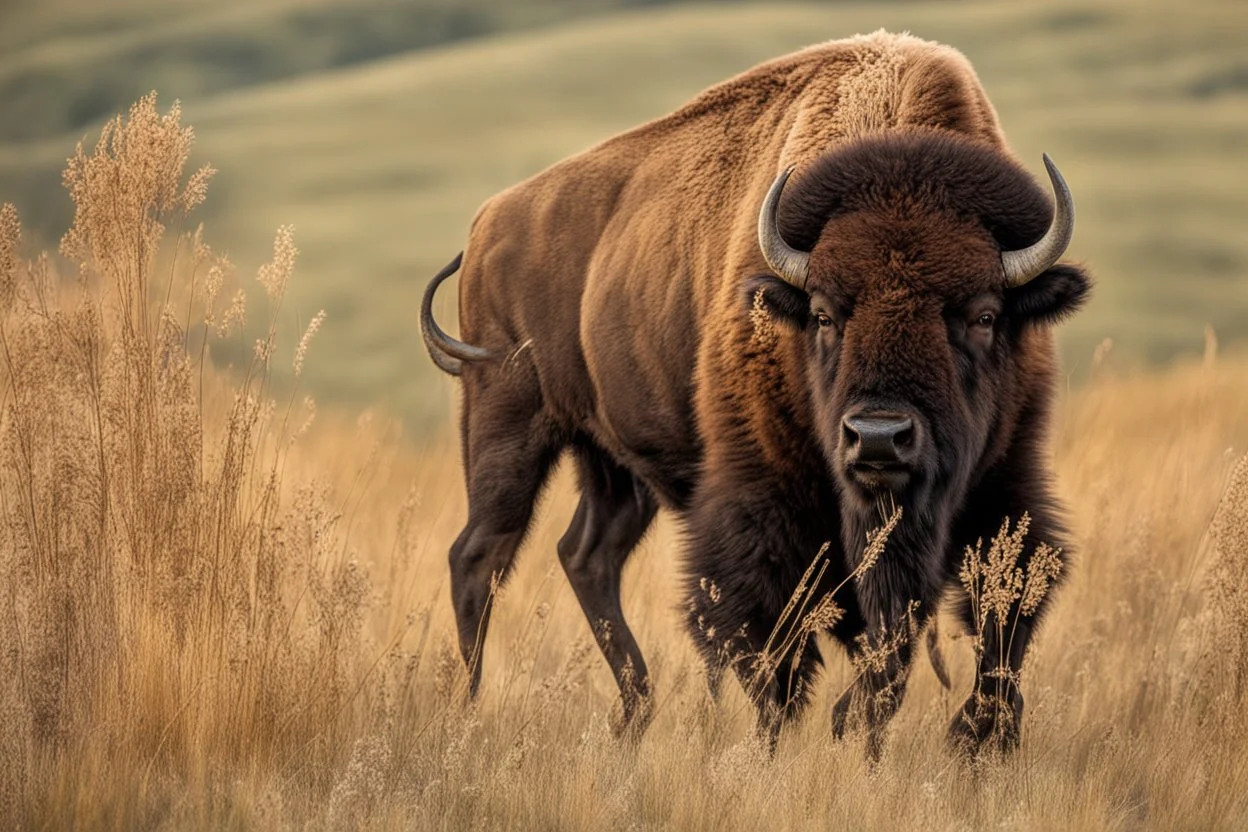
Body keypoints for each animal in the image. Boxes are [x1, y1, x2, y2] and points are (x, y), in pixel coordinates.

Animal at [416, 29, 1083, 758]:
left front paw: (962, 737)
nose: (880, 438)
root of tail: (488, 221)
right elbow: (776, 646)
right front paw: (795, 742)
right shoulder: (761, 498)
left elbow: (993, 619)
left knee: (586, 555)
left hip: (614, 465)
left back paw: (635, 712)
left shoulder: (1004, 479)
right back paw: (469, 709)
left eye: (985, 315)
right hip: (507, 424)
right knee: (480, 553)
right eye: (823, 314)